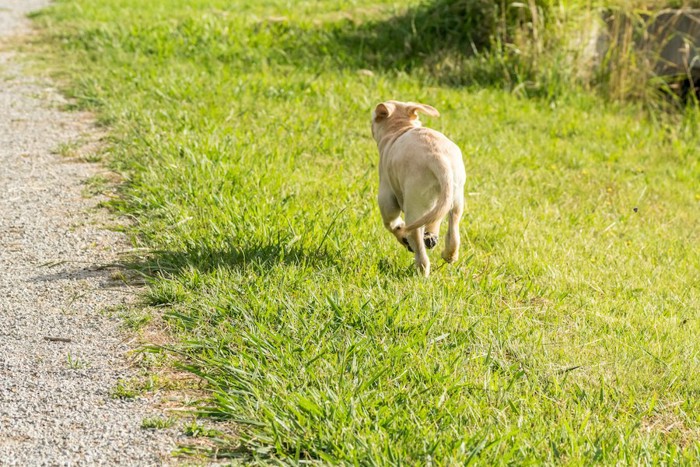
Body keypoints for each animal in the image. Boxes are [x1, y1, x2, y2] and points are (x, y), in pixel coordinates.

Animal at [372, 100, 464, 276]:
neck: (400, 128)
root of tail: (439, 159)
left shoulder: (387, 197)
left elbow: (393, 224)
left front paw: (403, 238)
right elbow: (433, 221)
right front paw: (430, 237)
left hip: (415, 205)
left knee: (416, 240)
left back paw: (421, 270)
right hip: (455, 198)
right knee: (453, 229)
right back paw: (449, 254)